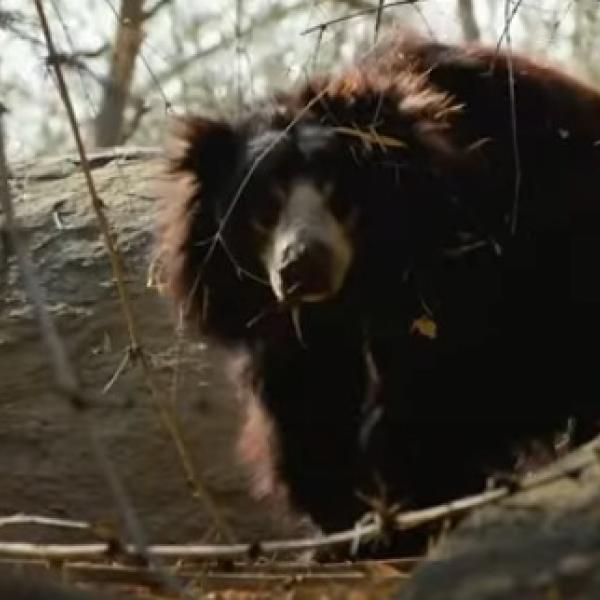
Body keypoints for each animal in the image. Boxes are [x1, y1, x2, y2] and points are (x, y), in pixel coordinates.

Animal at [157, 35, 600, 552]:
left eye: (337, 193)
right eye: (264, 205)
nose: (301, 266)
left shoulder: (466, 276)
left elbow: (440, 389)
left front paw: (399, 515)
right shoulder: (281, 327)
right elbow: (308, 404)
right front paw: (340, 528)